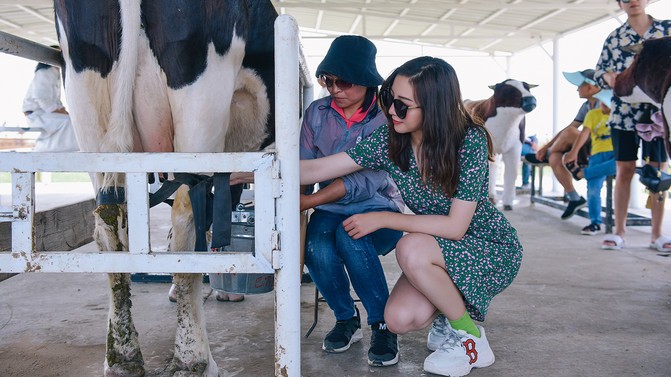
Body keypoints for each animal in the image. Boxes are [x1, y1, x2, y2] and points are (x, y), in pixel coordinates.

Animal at [52, 1, 278, 374]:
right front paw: (223, 290)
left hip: (86, 95)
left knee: (108, 221)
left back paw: (122, 356)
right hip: (201, 105)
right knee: (189, 211)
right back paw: (194, 358)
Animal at [464, 79, 540, 210]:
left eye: (527, 88)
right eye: (508, 90)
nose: (530, 99)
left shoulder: (515, 148)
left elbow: (512, 173)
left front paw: (508, 203)